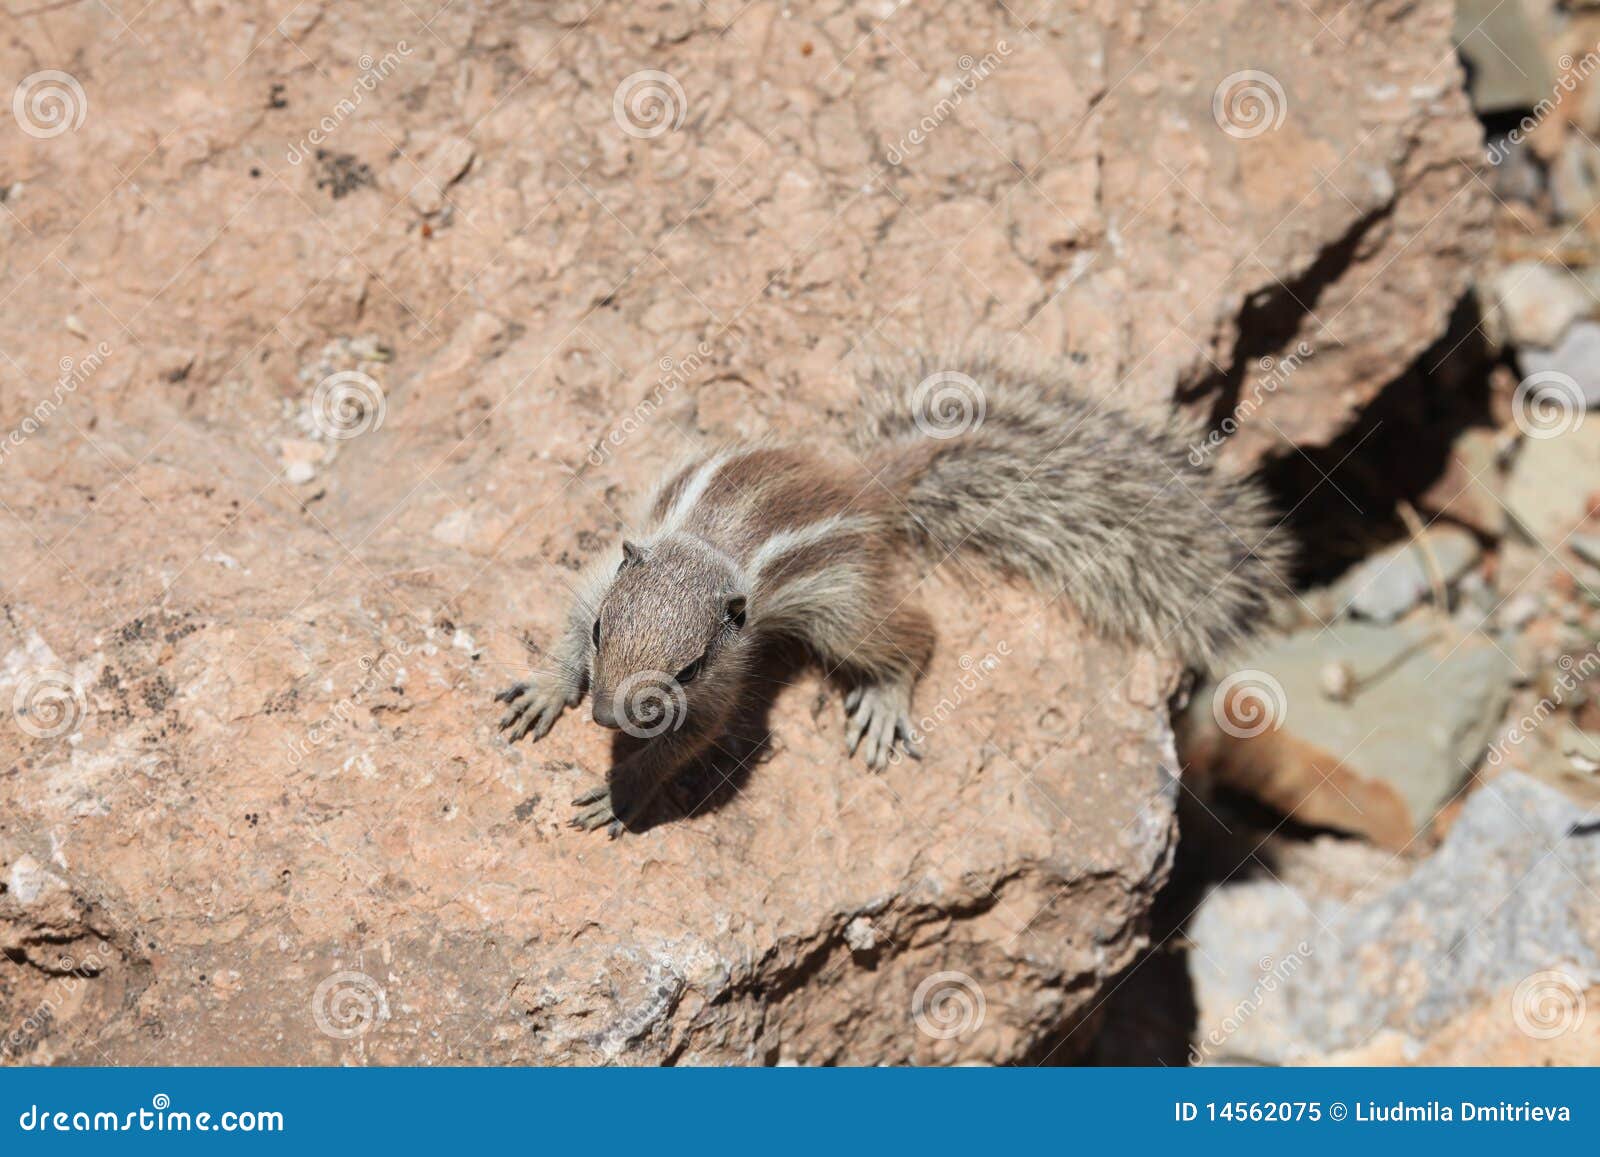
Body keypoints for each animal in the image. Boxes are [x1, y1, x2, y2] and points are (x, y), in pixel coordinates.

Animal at [496, 351, 1291, 836]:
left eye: (688, 669)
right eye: (604, 633)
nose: (606, 716)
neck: (704, 550)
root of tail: (866, 485)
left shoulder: (725, 678)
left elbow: (689, 741)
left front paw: (624, 792)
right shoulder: (604, 571)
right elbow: (566, 619)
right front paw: (546, 688)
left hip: (844, 606)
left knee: (914, 633)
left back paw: (885, 701)